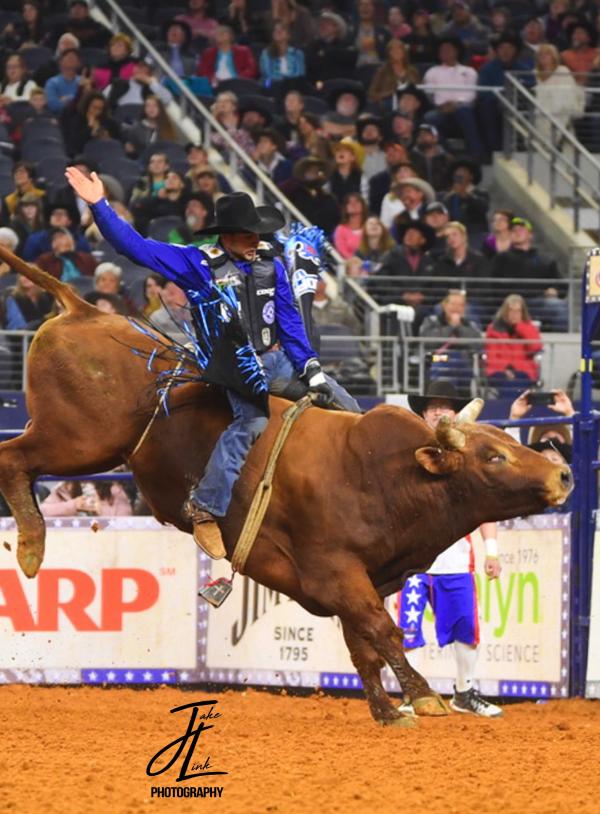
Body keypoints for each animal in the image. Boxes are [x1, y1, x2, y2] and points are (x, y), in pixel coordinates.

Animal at [0, 247, 572, 728]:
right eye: (493, 456)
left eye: (505, 439)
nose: (562, 474)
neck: (386, 475)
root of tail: (84, 311)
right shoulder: (337, 570)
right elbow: (382, 631)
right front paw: (424, 696)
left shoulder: (366, 579)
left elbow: (363, 645)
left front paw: (388, 711)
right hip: (79, 442)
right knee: (13, 459)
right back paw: (30, 544)